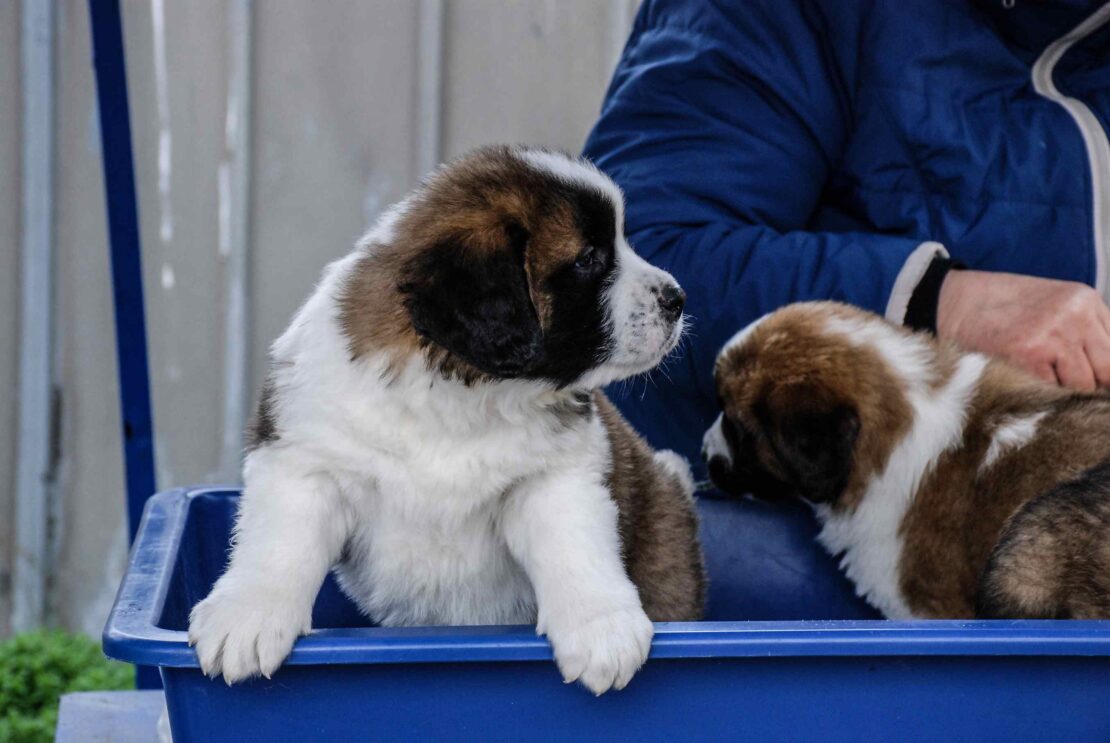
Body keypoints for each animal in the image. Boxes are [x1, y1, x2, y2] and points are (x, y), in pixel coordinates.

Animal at [183, 147, 701, 693]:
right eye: (589, 259)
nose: (677, 298)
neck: (463, 394)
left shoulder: (554, 478)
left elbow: (575, 543)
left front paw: (601, 626)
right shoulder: (304, 460)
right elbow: (277, 541)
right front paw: (247, 614)